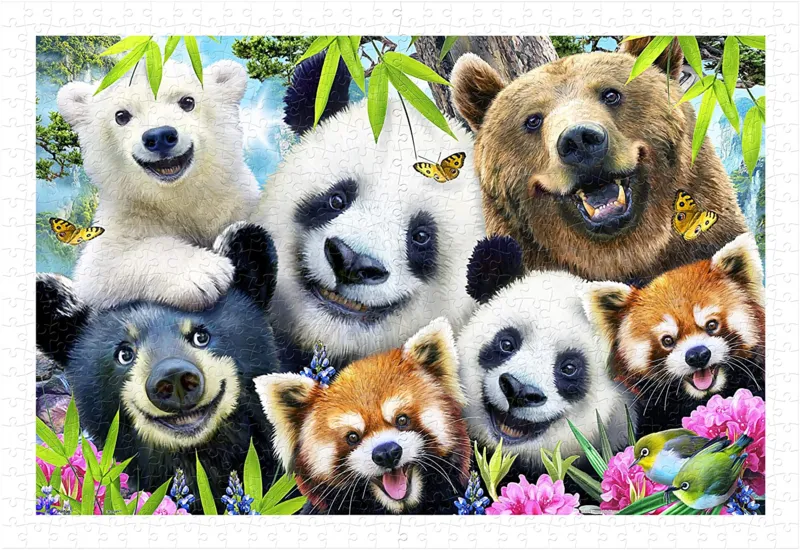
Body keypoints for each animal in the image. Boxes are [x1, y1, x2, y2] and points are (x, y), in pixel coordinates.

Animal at [56, 60, 260, 311]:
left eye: (187, 101)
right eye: (121, 115)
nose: (160, 136)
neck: (178, 194)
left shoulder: (237, 201)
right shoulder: (130, 214)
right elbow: (103, 266)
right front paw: (205, 273)